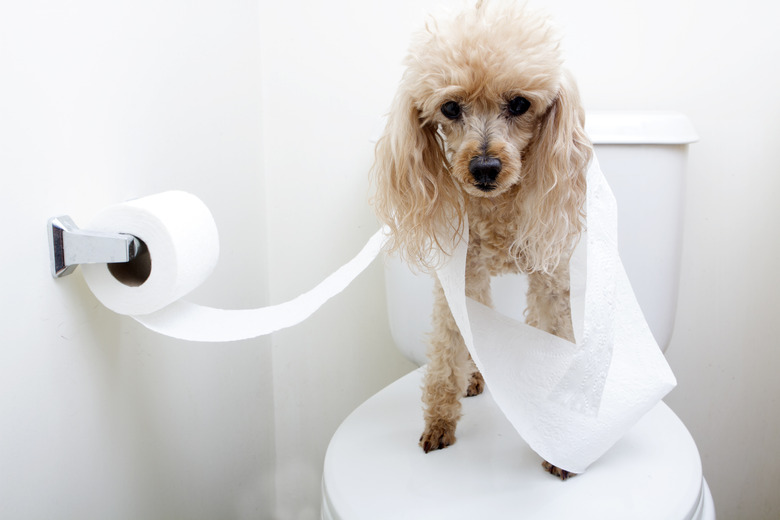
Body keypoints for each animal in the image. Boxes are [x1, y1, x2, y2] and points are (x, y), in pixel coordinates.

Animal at [372, 1, 592, 480]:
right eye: (451, 107)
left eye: (520, 103)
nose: (486, 167)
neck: (498, 211)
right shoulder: (460, 279)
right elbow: (447, 348)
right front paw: (439, 422)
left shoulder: (551, 281)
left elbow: (554, 334)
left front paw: (558, 445)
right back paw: (475, 376)